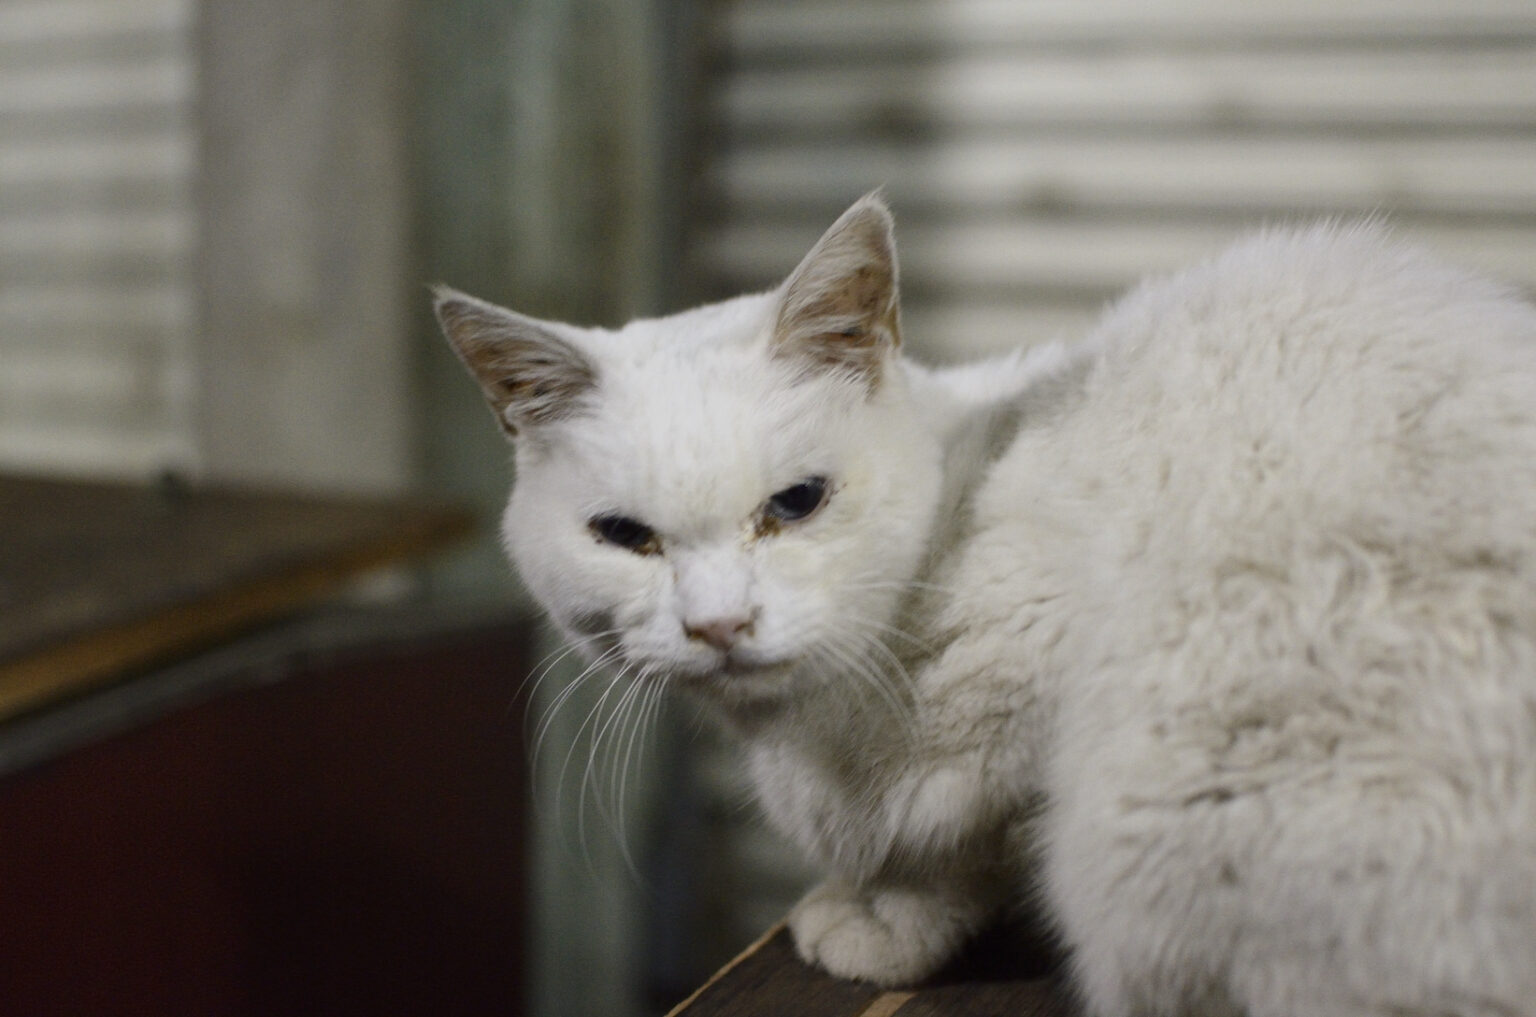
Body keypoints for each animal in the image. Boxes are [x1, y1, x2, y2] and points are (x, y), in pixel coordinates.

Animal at [436, 195, 1536, 1013]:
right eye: (626, 536)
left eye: (795, 504)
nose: (718, 626)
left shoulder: (1028, 698)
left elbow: (946, 847)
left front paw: (875, 924)